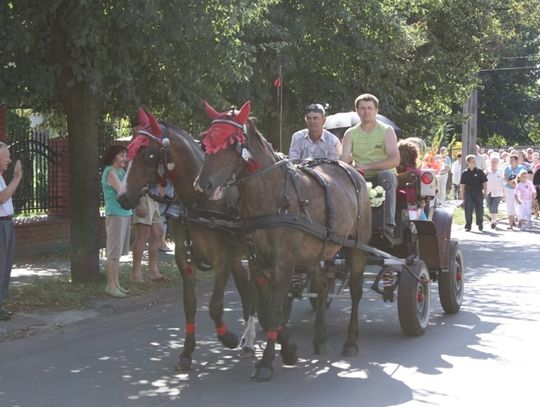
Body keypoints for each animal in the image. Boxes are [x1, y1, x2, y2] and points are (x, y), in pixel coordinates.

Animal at [115, 108, 258, 372]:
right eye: (127, 151)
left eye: (149, 155)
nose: (122, 198)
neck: (198, 201)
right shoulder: (185, 257)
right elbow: (190, 304)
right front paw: (186, 352)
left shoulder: (222, 258)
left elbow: (214, 305)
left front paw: (228, 337)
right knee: (246, 287)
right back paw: (249, 339)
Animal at [196, 101, 374, 382]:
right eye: (205, 142)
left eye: (232, 144)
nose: (203, 185)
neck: (271, 196)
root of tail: (353, 171)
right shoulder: (258, 263)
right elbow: (269, 312)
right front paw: (288, 349)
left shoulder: (284, 263)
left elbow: (274, 312)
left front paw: (267, 362)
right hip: (314, 253)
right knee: (322, 285)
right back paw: (320, 337)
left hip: (357, 246)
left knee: (356, 291)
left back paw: (350, 342)